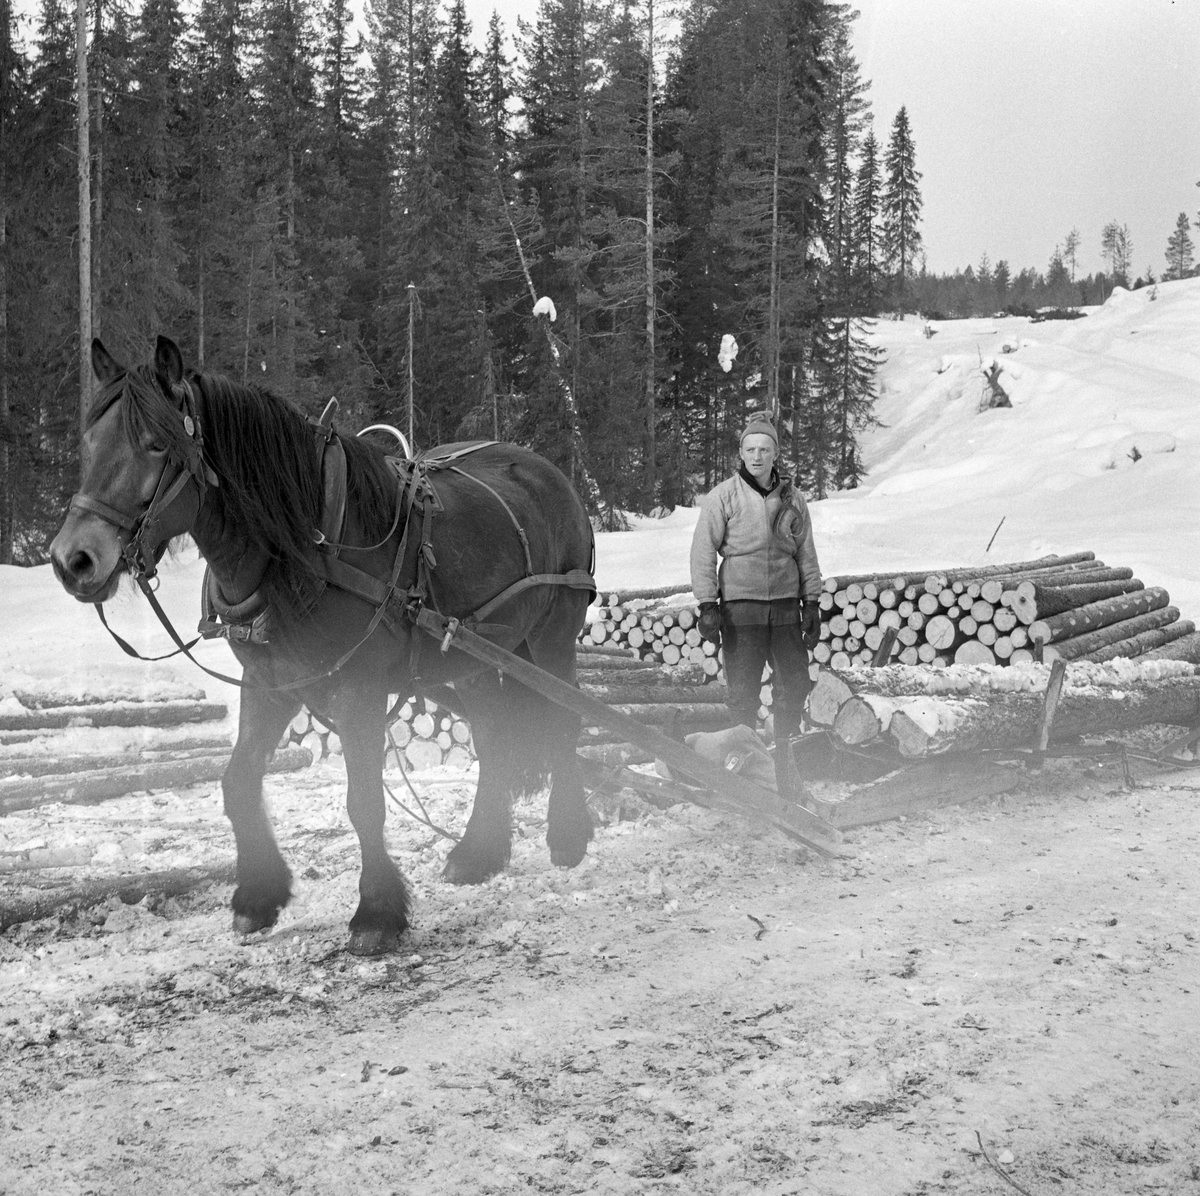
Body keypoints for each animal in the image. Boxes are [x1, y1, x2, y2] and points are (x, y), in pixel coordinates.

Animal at [50, 333, 595, 950]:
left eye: (155, 445)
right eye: (90, 443)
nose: (73, 560)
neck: (299, 549)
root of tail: (550, 472)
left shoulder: (359, 689)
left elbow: (364, 803)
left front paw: (377, 912)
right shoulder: (270, 683)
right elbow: (238, 782)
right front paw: (258, 896)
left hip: (551, 640)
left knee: (564, 719)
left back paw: (568, 837)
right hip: (472, 657)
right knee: (493, 733)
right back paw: (478, 853)